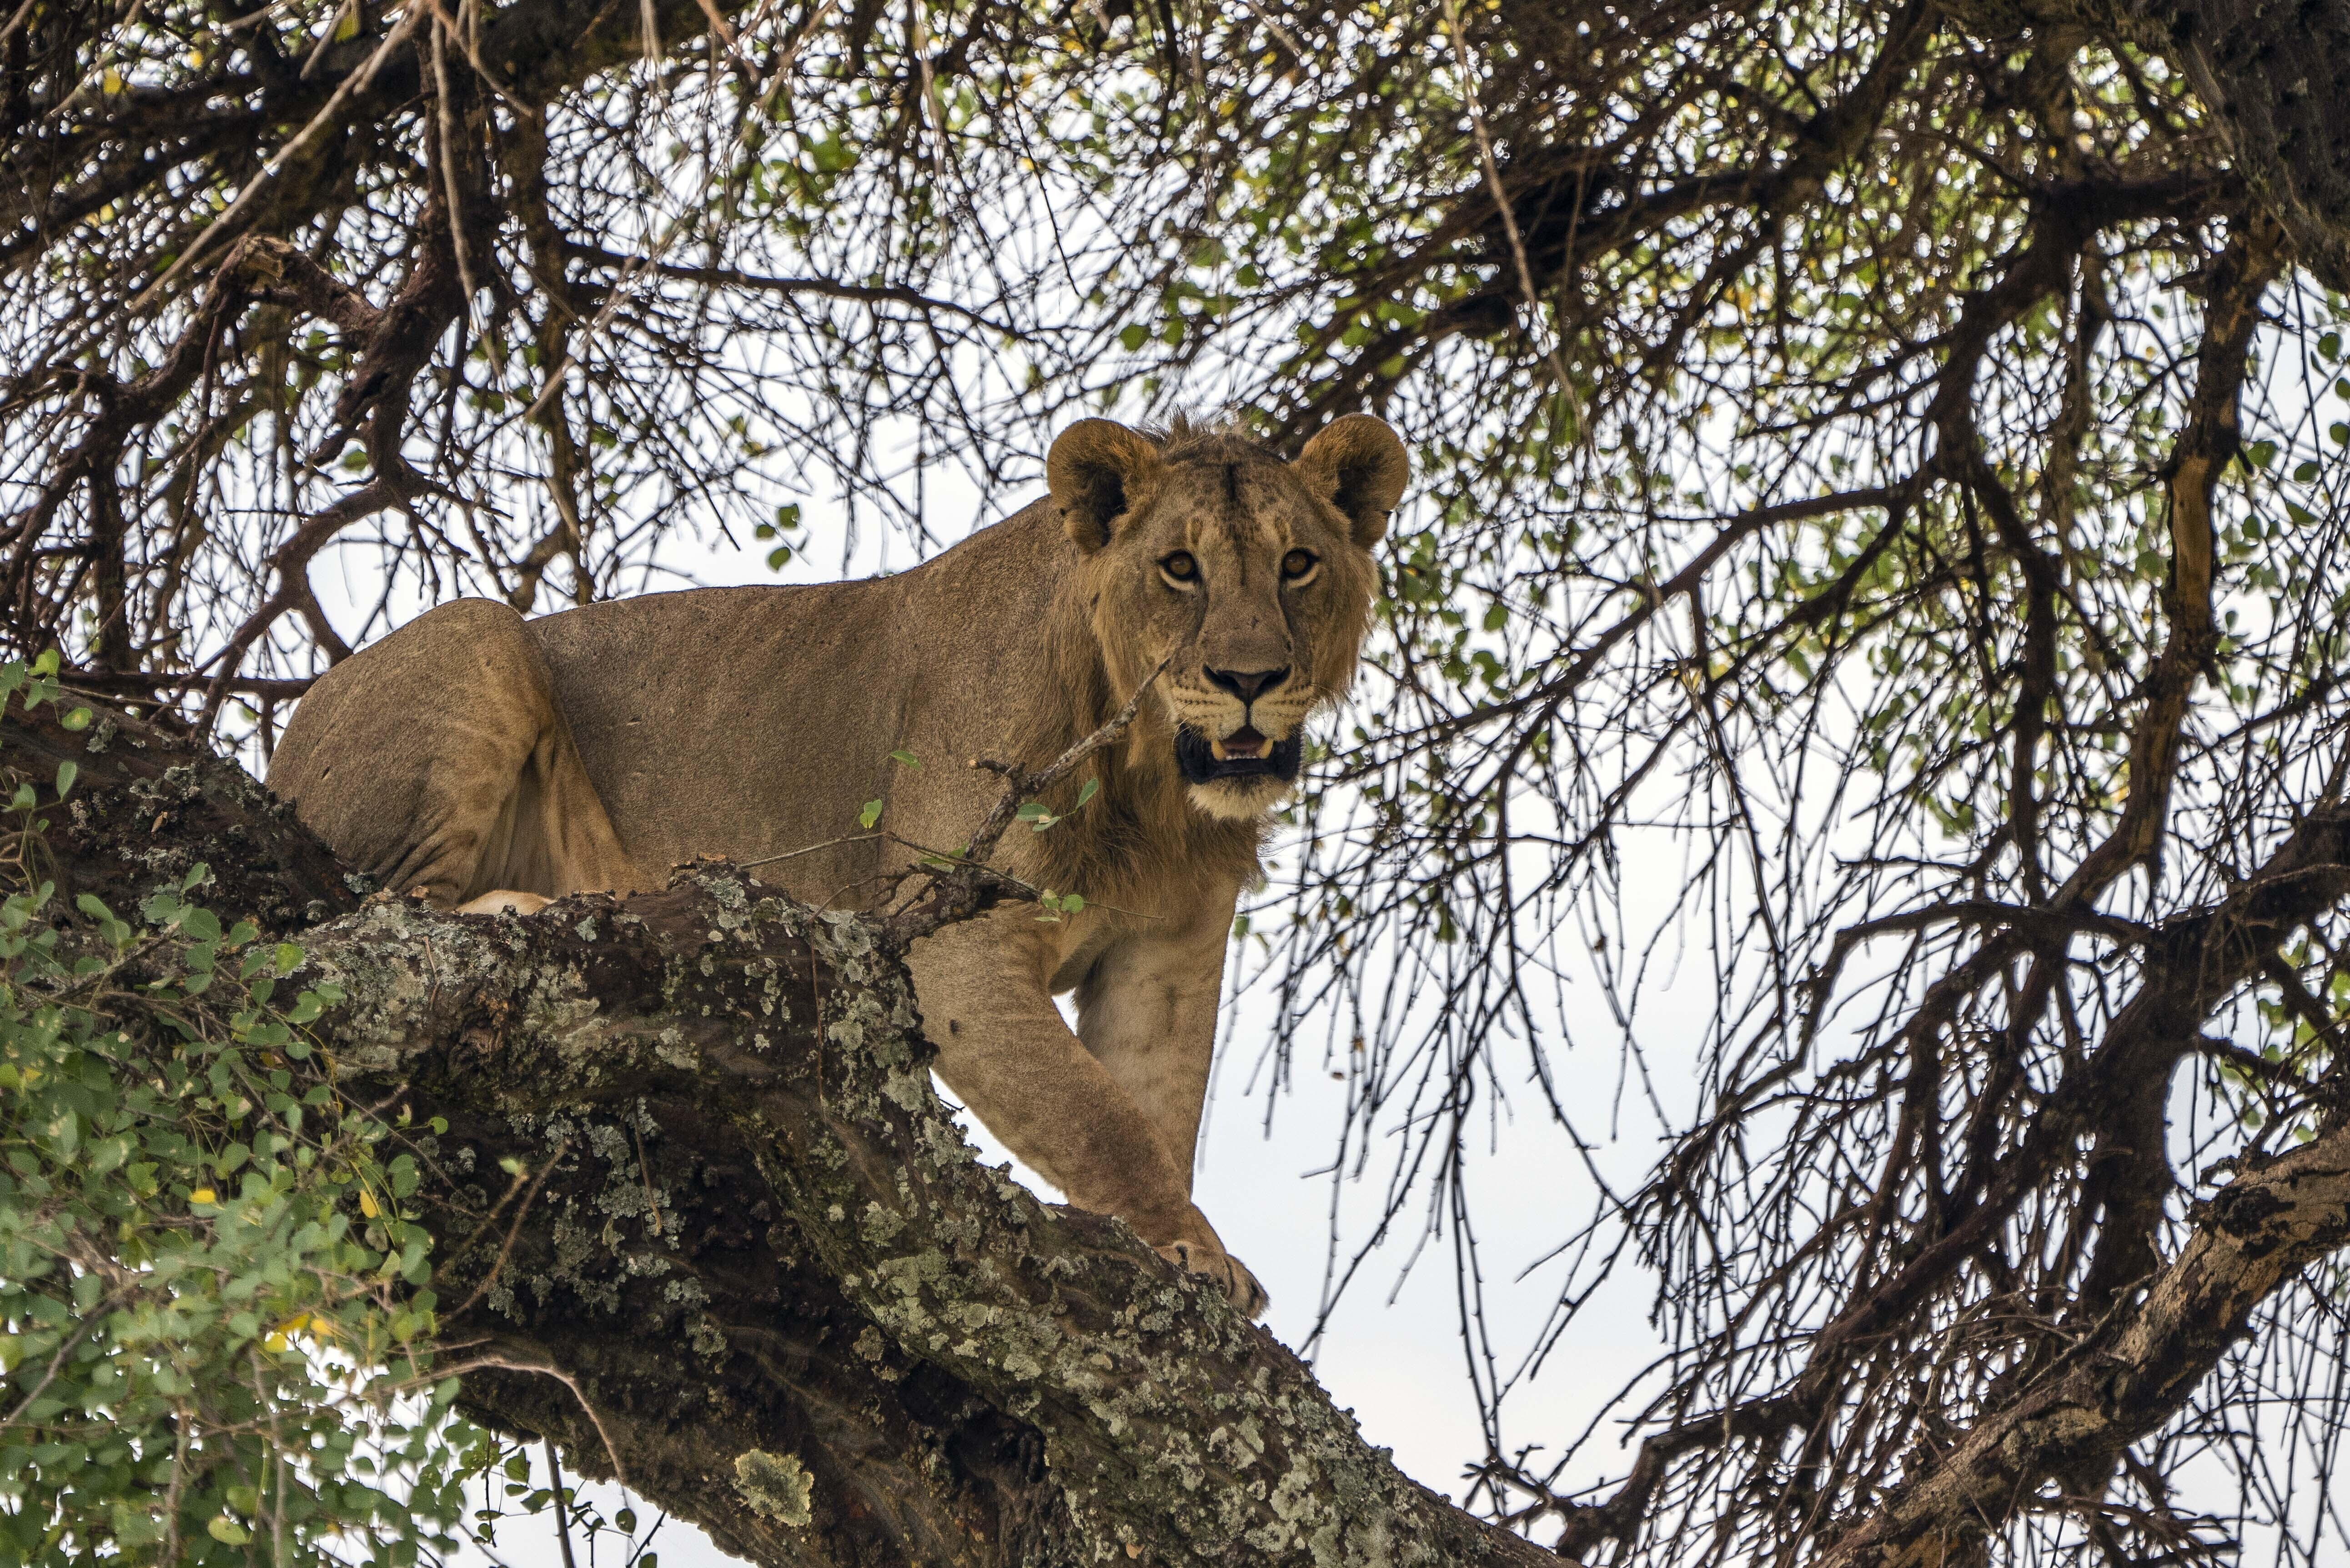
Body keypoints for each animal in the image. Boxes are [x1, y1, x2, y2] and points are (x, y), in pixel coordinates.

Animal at [275, 413, 1410, 1316]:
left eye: (1297, 564)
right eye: (1180, 567)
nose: (1249, 678)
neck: (1153, 786)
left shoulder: (1164, 957)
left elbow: (1152, 1111)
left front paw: (1182, 1244)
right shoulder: (955, 947)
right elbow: (1102, 1121)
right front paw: (1189, 1247)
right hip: (480, 636)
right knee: (381, 915)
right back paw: (533, 905)